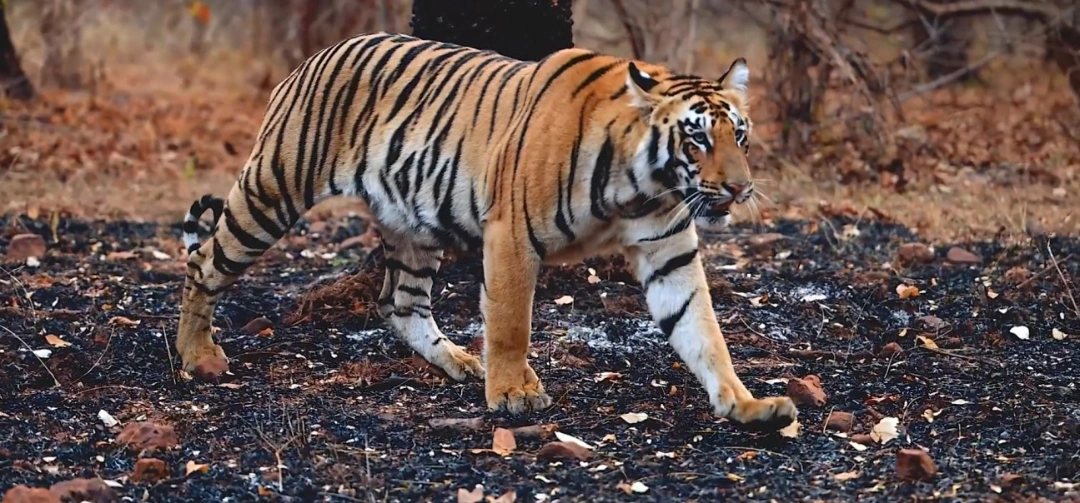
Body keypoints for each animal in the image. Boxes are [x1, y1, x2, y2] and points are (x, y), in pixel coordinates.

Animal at [178, 31, 797, 430]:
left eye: (740, 135)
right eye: (697, 138)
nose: (740, 189)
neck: (642, 185)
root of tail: (312, 58)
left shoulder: (668, 253)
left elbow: (704, 332)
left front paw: (747, 405)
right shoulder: (512, 235)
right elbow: (509, 324)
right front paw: (510, 394)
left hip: (412, 221)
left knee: (399, 302)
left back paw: (457, 361)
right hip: (272, 191)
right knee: (202, 264)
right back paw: (196, 356)